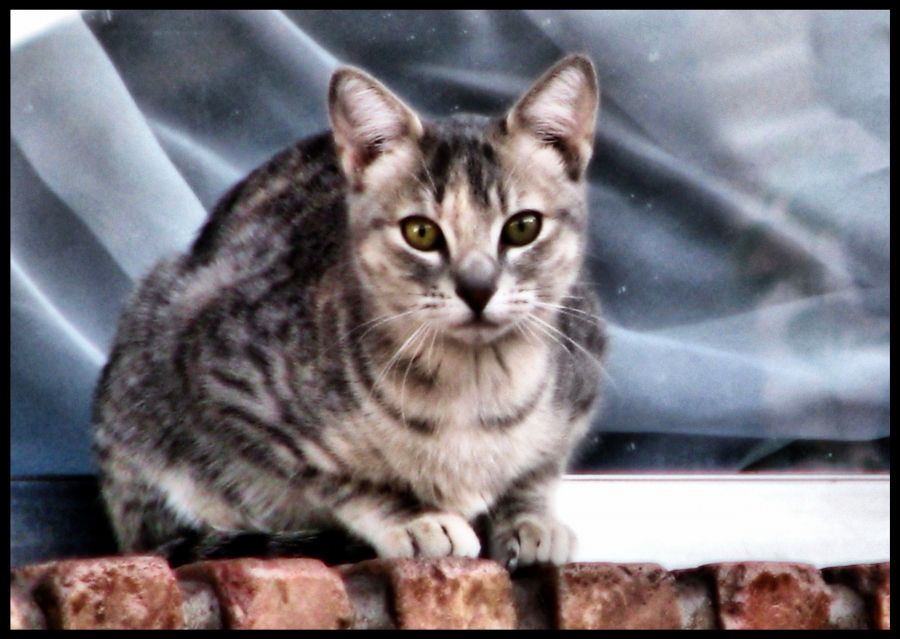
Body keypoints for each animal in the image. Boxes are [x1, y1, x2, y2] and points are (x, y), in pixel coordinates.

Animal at [93, 52, 604, 568]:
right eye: (421, 232)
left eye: (522, 227)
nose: (477, 288)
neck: (474, 390)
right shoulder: (222, 375)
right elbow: (339, 477)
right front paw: (416, 517)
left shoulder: (584, 368)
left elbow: (538, 468)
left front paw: (529, 519)